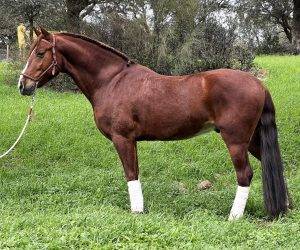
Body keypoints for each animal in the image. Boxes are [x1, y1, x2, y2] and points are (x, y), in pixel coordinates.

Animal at [17, 26, 288, 220]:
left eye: (39, 53)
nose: (23, 85)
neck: (111, 81)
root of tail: (259, 84)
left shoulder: (123, 138)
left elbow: (131, 173)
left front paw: (137, 211)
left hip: (236, 140)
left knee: (245, 174)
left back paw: (234, 217)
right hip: (252, 140)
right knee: (272, 165)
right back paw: (284, 206)